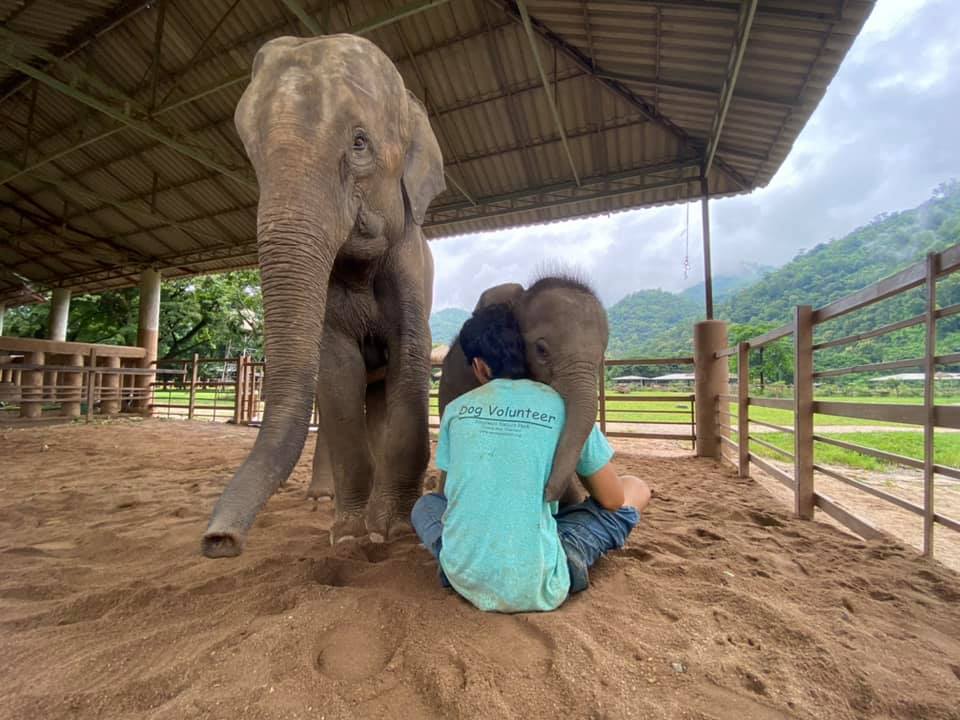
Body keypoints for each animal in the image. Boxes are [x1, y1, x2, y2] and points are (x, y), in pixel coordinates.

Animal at [202, 33, 446, 556]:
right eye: (252, 155)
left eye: (359, 142)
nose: (218, 540)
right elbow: (337, 371)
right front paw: (349, 534)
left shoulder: (412, 269)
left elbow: (409, 359)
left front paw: (393, 530)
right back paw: (320, 501)